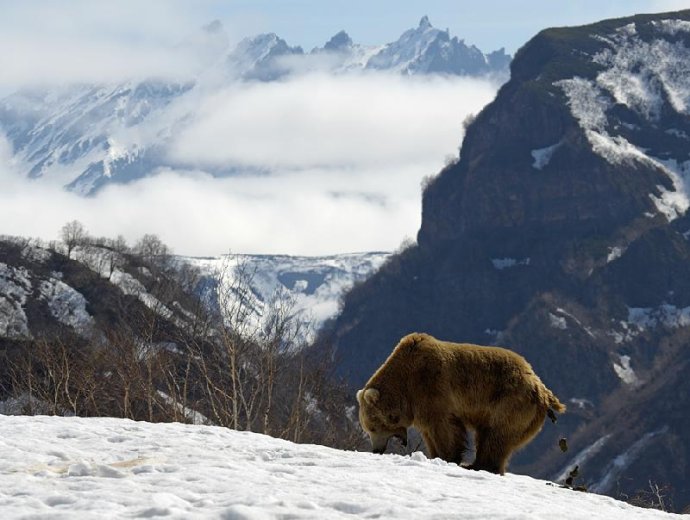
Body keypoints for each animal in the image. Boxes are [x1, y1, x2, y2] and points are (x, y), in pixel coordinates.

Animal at [354, 334, 564, 476]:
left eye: (372, 427)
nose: (376, 450)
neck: (405, 385)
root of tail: (540, 386)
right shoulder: (419, 404)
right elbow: (429, 432)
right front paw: (434, 455)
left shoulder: (431, 387)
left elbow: (444, 428)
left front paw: (449, 457)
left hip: (509, 402)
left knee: (496, 435)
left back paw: (480, 465)